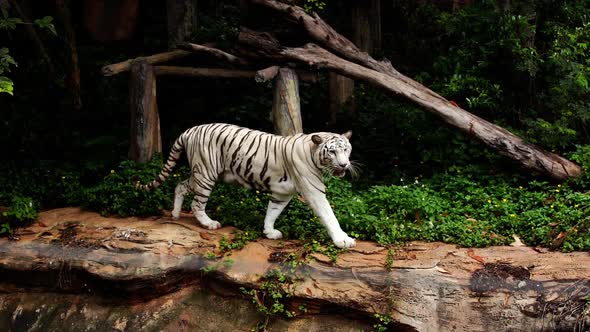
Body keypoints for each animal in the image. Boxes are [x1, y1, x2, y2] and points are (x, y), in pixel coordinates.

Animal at [139, 123, 358, 248]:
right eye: (332, 152)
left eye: (346, 149)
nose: (344, 165)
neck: (314, 155)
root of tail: (189, 130)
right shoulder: (314, 191)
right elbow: (329, 215)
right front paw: (343, 240)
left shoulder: (282, 193)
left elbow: (273, 211)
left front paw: (269, 232)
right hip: (206, 173)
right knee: (196, 204)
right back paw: (209, 223)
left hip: (200, 174)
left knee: (180, 185)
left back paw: (175, 214)